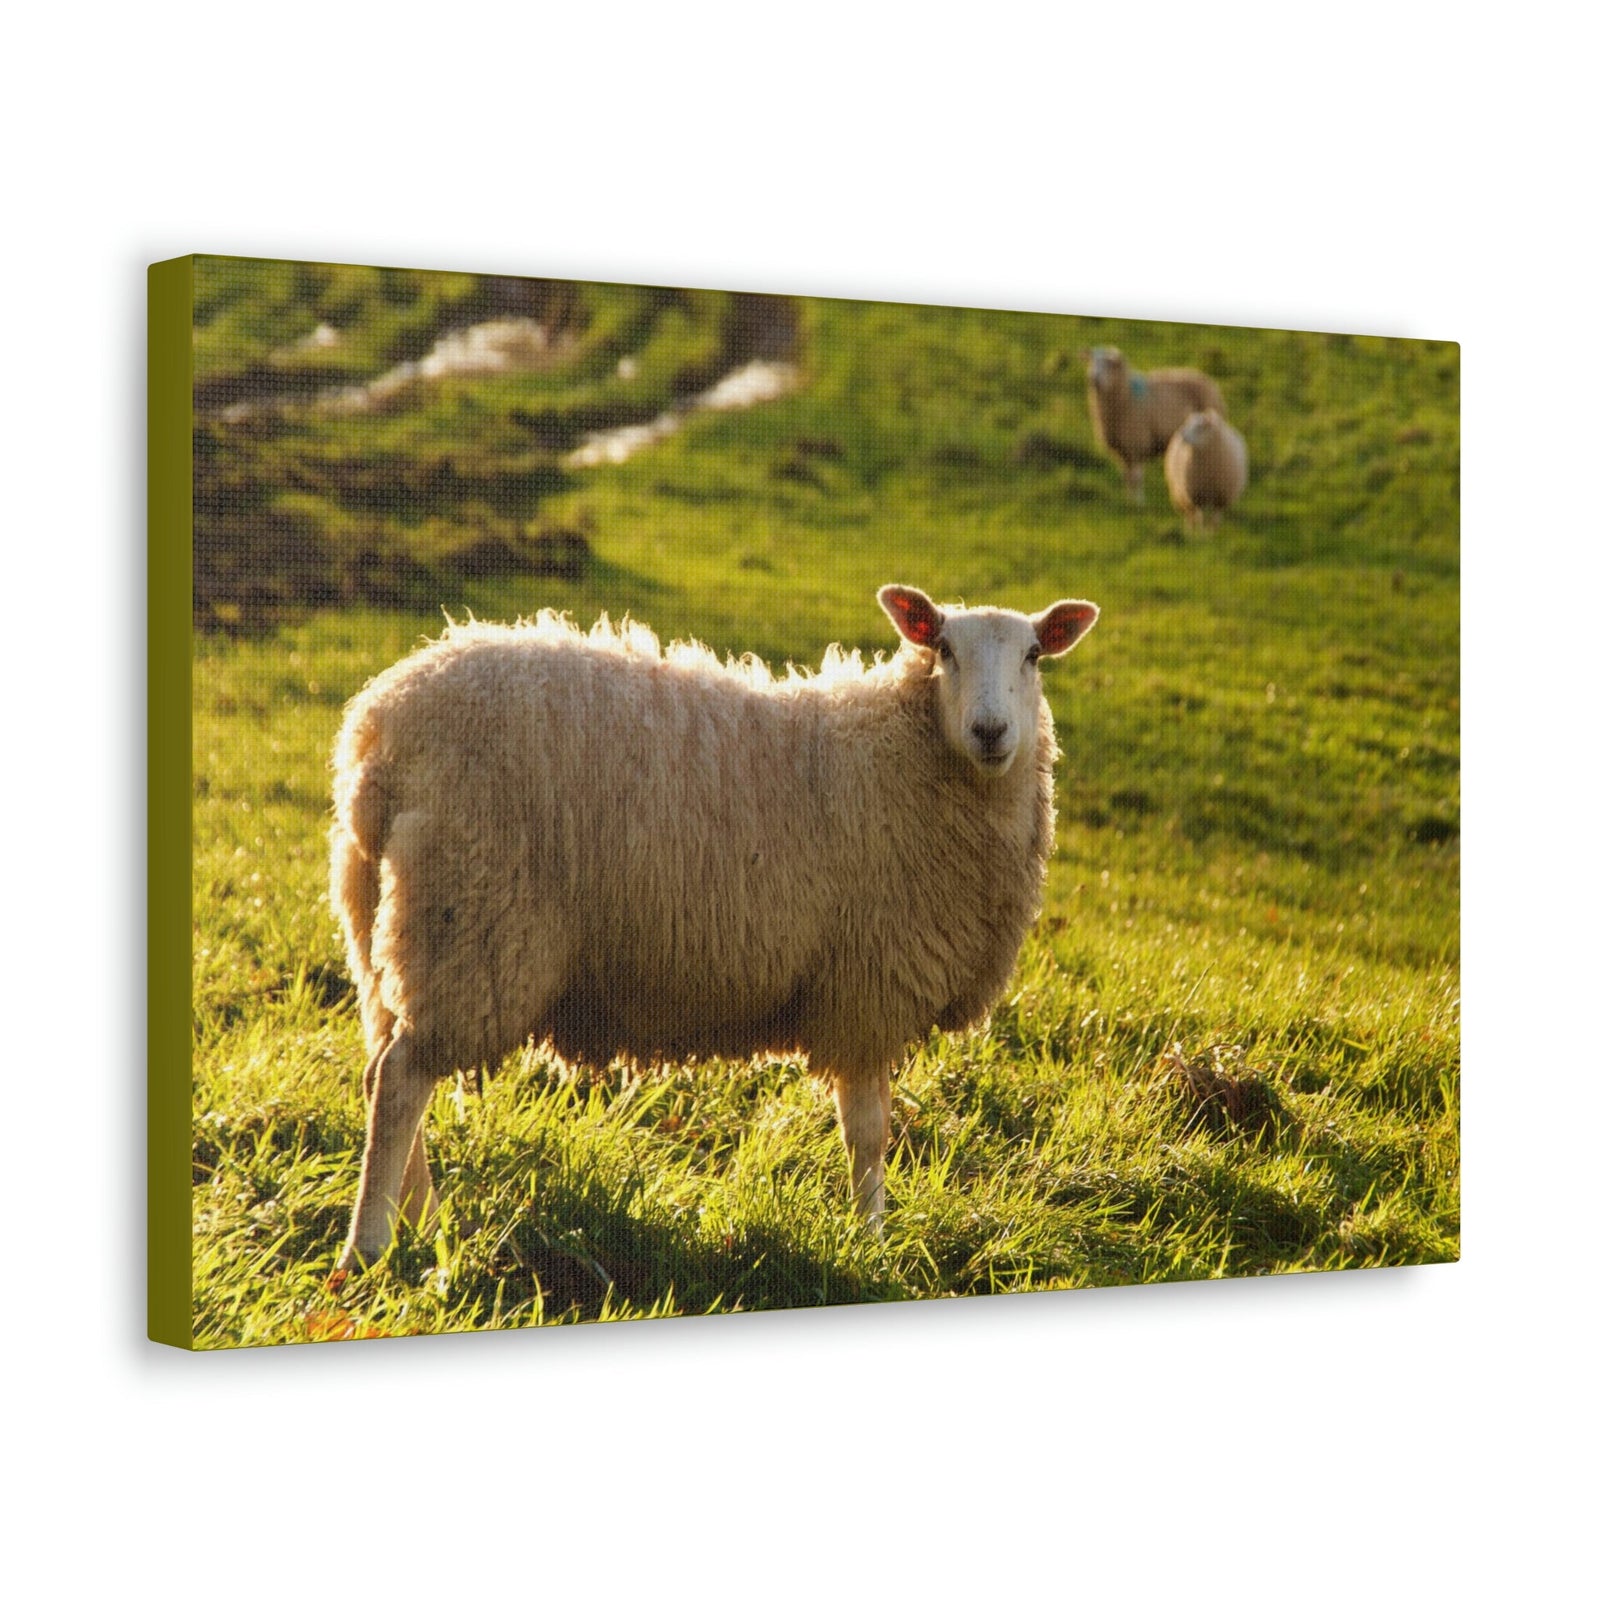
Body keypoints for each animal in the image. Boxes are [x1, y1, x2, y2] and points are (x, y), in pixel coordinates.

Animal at [330, 585, 1100, 1268]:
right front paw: (872, 1243)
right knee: (401, 1081)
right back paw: (369, 1246)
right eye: (942, 648)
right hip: (469, 920)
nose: (991, 731)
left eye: (1034, 655)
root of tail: (378, 730)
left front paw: (870, 1235)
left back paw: (423, 1222)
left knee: (380, 1069)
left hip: (382, 927)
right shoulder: (867, 988)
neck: (905, 752)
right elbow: (869, 1132)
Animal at [1085, 346, 1225, 502]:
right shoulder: (1122, 450)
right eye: (1092, 361)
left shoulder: (1137, 445)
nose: (1093, 379)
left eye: (1109, 364)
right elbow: (1127, 477)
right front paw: (1128, 500)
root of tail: (1206, 379)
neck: (1126, 397)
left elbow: (1136, 477)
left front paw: (1138, 502)